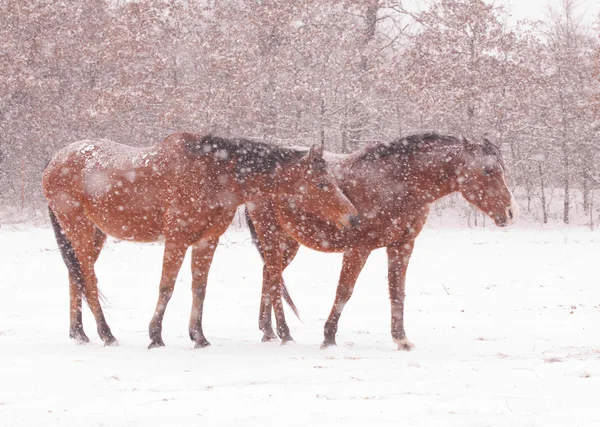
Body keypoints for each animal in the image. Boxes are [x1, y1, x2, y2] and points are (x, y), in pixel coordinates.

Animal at [45, 132, 360, 350]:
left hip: (94, 233)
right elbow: (167, 287)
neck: (213, 174)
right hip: (80, 229)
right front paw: (155, 336)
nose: (353, 217)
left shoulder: (207, 241)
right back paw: (106, 334)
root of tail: (54, 161)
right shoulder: (176, 239)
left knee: (76, 277)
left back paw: (79, 333)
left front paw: (198, 337)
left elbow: (200, 288)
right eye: (321, 184)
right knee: (88, 278)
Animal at [241, 135, 516, 352]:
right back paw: (285, 334)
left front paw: (401, 339)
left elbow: (397, 292)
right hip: (272, 235)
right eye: (488, 170)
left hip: (289, 242)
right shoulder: (358, 249)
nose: (511, 212)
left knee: (269, 275)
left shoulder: (402, 245)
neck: (396, 182)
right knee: (274, 278)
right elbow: (344, 292)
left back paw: (268, 331)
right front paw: (329, 338)